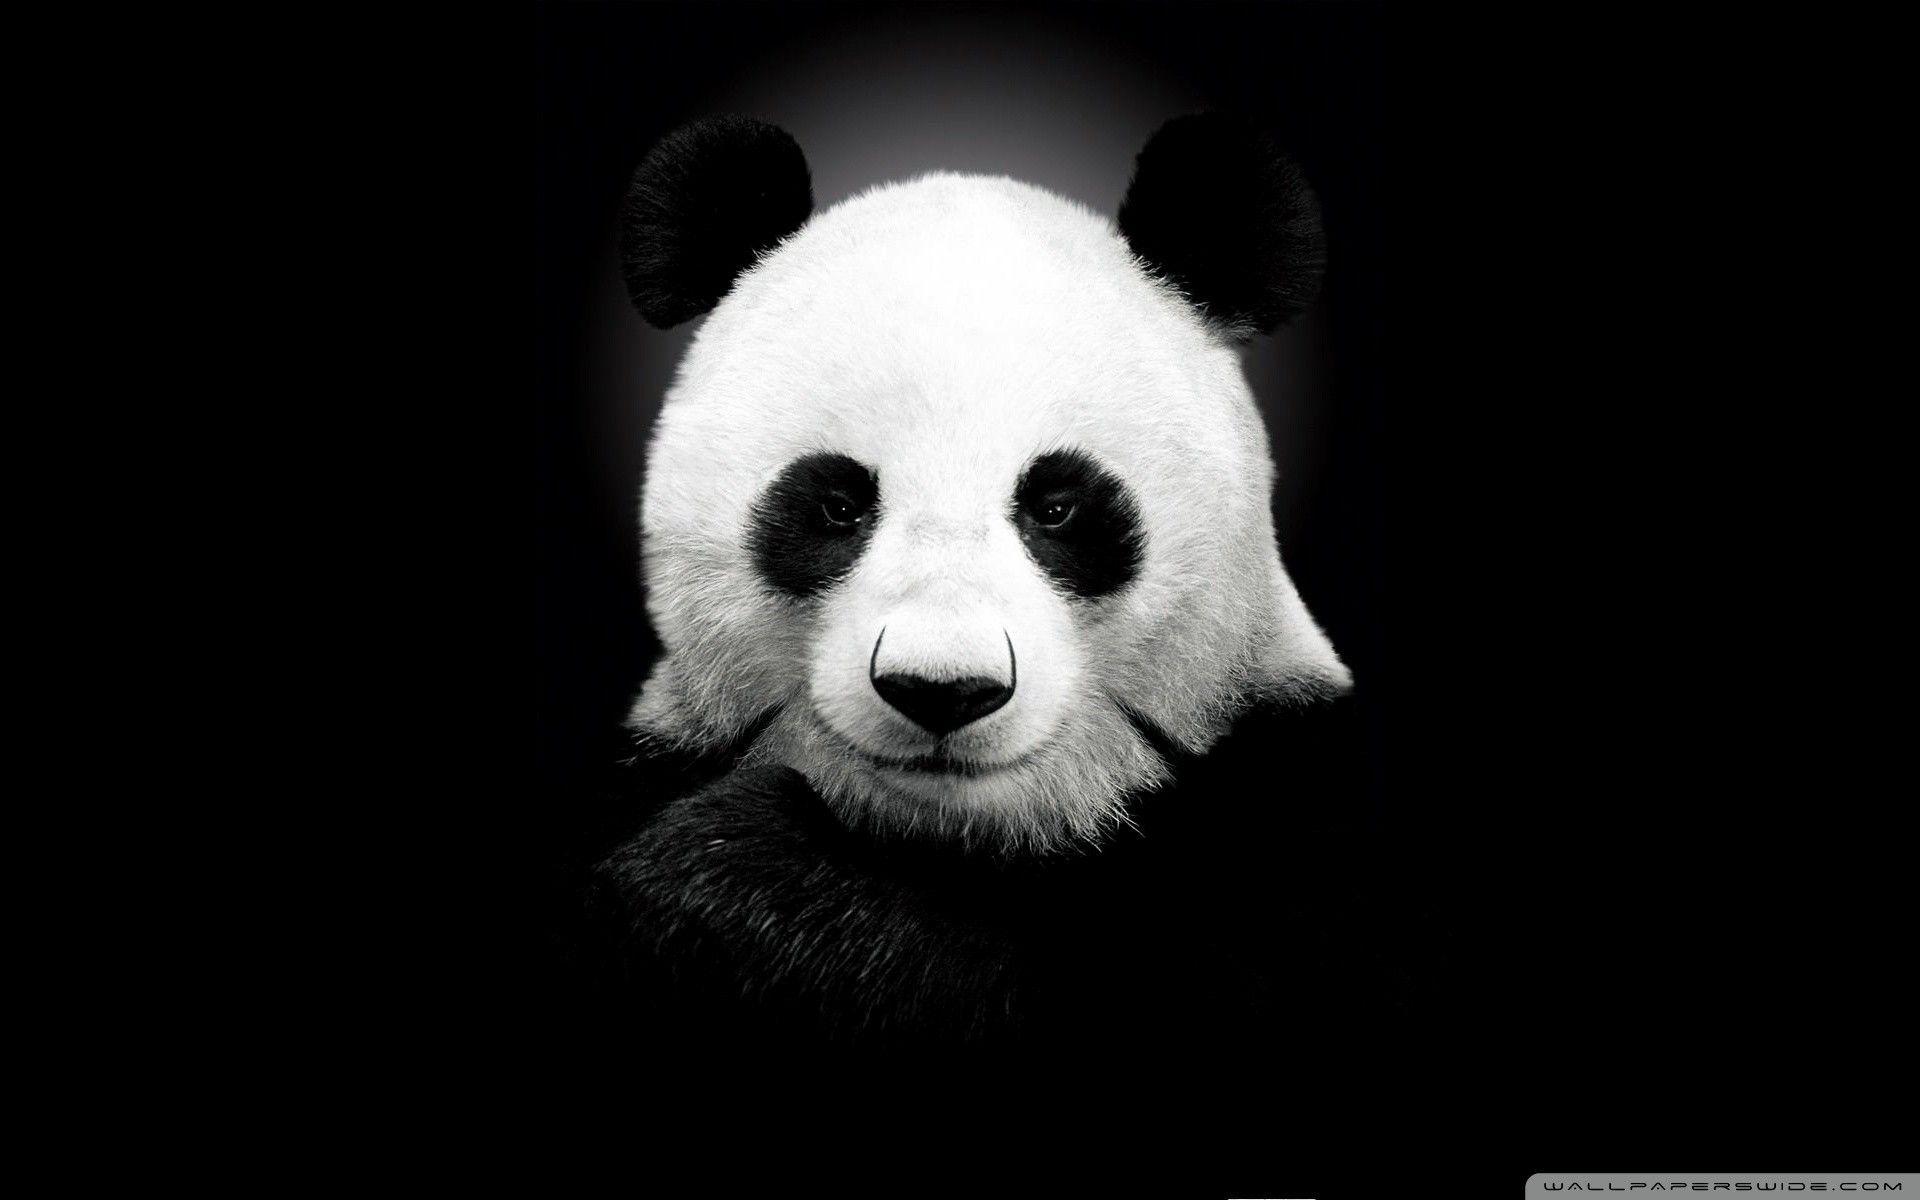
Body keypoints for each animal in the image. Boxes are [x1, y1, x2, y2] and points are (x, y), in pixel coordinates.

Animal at [582, 114, 1408, 1054]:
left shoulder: (1292, 819)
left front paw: (730, 878)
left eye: (1057, 507)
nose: (943, 690)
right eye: (836, 506)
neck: (961, 836)